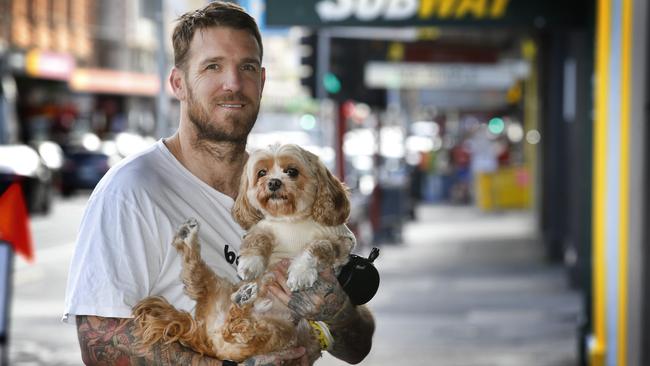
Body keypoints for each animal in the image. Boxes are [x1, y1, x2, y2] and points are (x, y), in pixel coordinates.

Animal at [133, 144, 354, 364]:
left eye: (292, 171)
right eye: (262, 173)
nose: (273, 182)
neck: (290, 220)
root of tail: (206, 338)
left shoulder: (340, 243)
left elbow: (317, 246)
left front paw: (300, 271)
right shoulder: (264, 228)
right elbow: (257, 239)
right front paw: (251, 263)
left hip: (276, 332)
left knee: (227, 316)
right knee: (224, 314)